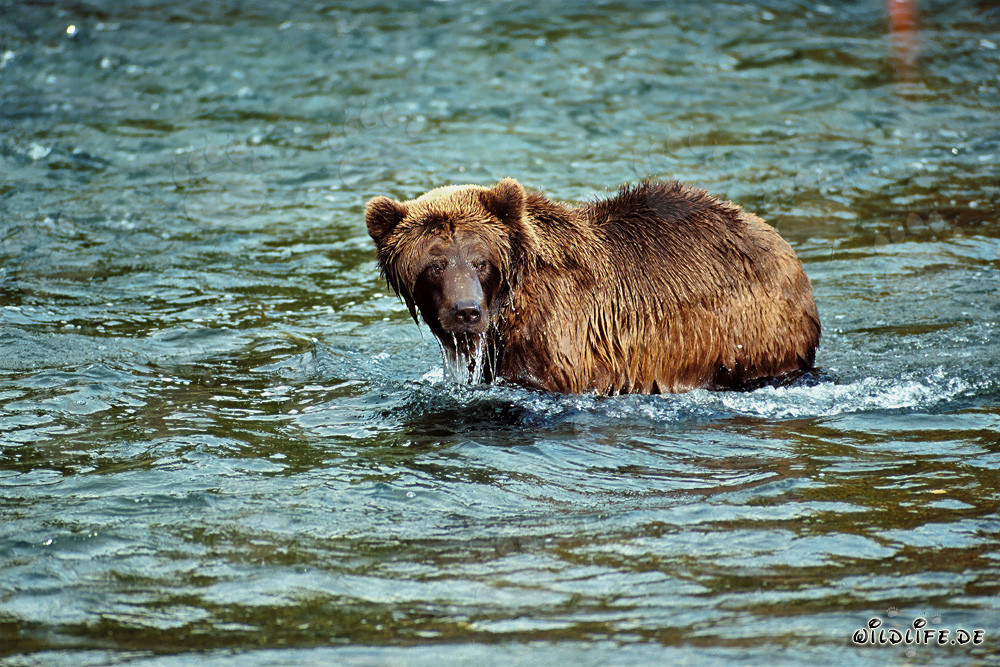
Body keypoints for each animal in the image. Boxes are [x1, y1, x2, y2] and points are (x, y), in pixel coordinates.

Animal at [365, 178, 821, 395]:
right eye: (435, 265)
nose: (466, 311)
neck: (509, 309)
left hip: (748, 328)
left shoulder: (560, 342)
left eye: (481, 260)